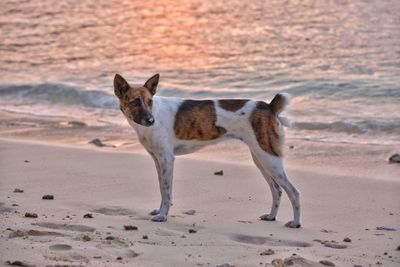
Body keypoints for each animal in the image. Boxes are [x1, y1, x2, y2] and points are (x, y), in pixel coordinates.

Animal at [112, 73, 300, 228]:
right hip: (261, 159)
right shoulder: (158, 160)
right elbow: (162, 188)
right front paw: (160, 211)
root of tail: (269, 106)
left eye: (150, 102)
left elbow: (166, 191)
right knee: (277, 190)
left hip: (269, 159)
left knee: (293, 192)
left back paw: (296, 222)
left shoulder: (166, 159)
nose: (151, 120)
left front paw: (163, 215)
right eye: (134, 102)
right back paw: (271, 216)